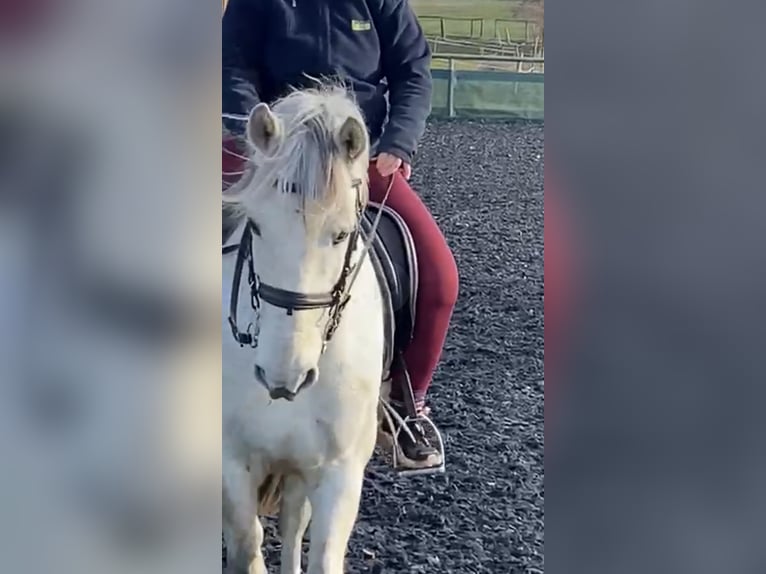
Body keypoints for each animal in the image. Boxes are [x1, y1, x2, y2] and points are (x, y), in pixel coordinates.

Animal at [222, 85, 389, 574]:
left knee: (295, 522)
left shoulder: (339, 472)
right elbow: (247, 546)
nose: (284, 377)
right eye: (256, 225)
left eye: (342, 234)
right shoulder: (231, 463)